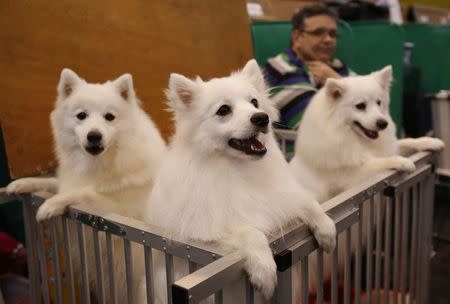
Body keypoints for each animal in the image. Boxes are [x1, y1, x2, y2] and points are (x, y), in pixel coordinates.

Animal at [7, 69, 166, 302]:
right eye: (81, 115)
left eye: (109, 117)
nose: (94, 135)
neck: (99, 165)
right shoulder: (70, 180)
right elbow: (55, 183)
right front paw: (19, 184)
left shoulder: (122, 211)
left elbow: (84, 193)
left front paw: (49, 206)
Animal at [146, 60, 336, 302]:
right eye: (223, 110)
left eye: (254, 102)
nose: (261, 117)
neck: (238, 170)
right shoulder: (206, 232)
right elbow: (250, 232)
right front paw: (265, 272)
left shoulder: (284, 197)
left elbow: (309, 204)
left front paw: (327, 230)